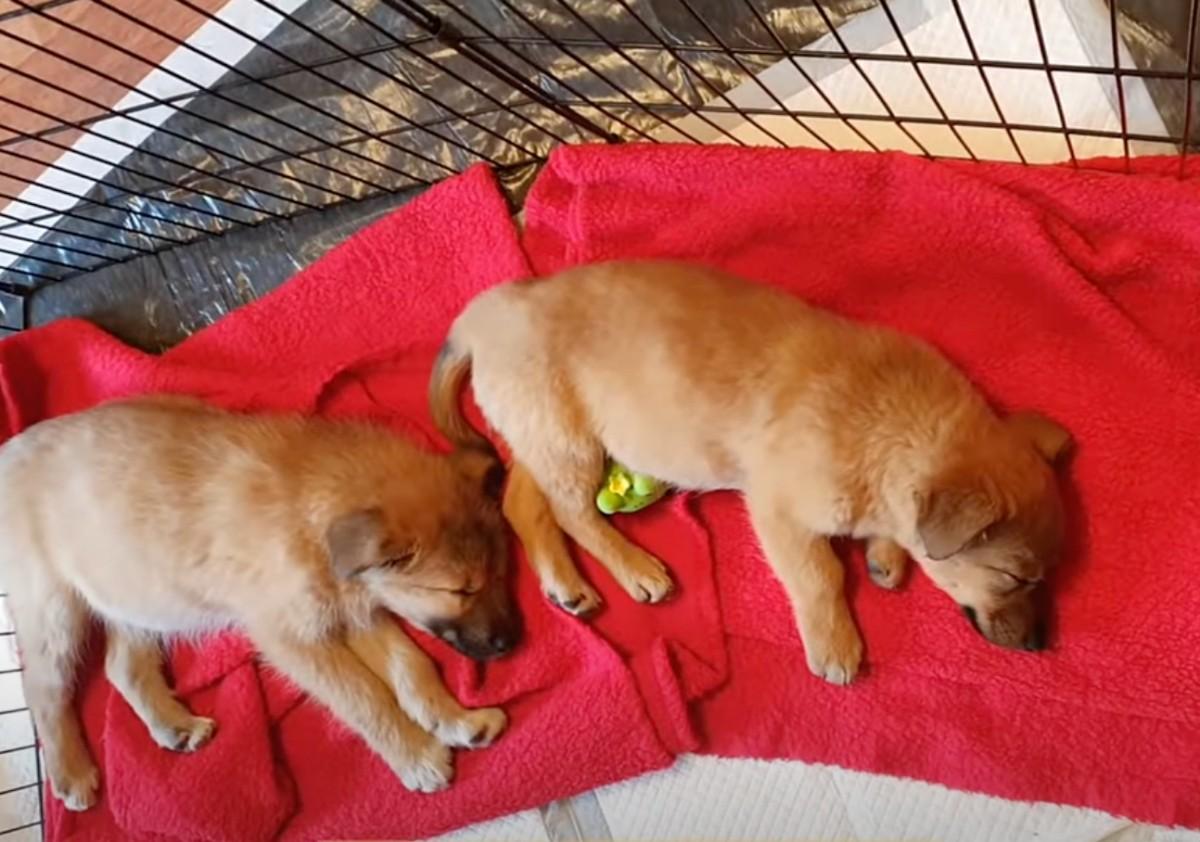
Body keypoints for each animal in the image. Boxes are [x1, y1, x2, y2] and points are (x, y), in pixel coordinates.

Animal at [0, 398, 518, 815]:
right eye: (460, 591)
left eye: (501, 573)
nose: (511, 643)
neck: (310, 512)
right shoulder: (291, 637)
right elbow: (363, 697)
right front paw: (416, 756)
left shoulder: (349, 608)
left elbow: (412, 665)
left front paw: (456, 721)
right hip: (54, 607)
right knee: (42, 688)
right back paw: (72, 773)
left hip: (140, 593)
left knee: (121, 666)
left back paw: (174, 726)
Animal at [429, 262, 1070, 686]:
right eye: (1015, 579)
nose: (1040, 646)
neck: (894, 425)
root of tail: (481, 316)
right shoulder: (778, 512)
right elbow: (820, 577)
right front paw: (835, 646)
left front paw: (886, 556)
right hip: (569, 439)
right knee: (571, 511)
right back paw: (636, 569)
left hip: (547, 436)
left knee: (522, 501)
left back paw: (568, 586)